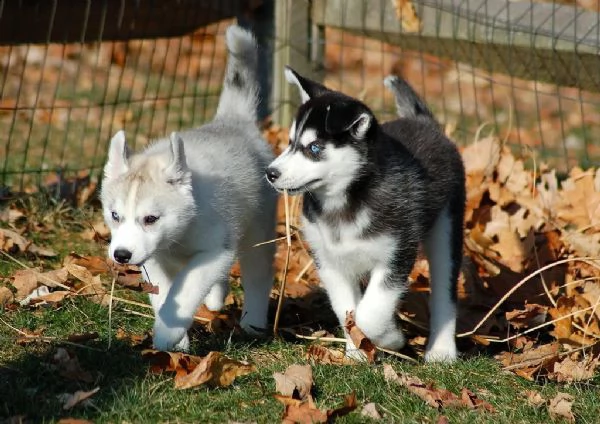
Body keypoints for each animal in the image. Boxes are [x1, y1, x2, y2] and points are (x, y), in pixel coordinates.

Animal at [100, 24, 276, 352]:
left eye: (151, 219)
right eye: (115, 216)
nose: (122, 255)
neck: (179, 235)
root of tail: (232, 121)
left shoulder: (213, 253)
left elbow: (184, 289)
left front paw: (166, 335)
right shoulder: (154, 259)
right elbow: (165, 296)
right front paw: (177, 340)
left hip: (258, 231)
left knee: (258, 275)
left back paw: (253, 322)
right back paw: (217, 299)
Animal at [264, 68, 466, 362]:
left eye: (314, 148)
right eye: (290, 143)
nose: (270, 173)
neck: (343, 201)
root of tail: (423, 121)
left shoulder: (396, 255)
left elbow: (372, 312)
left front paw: (391, 338)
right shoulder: (329, 260)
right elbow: (347, 309)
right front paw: (357, 350)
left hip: (446, 228)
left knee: (445, 292)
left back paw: (442, 350)